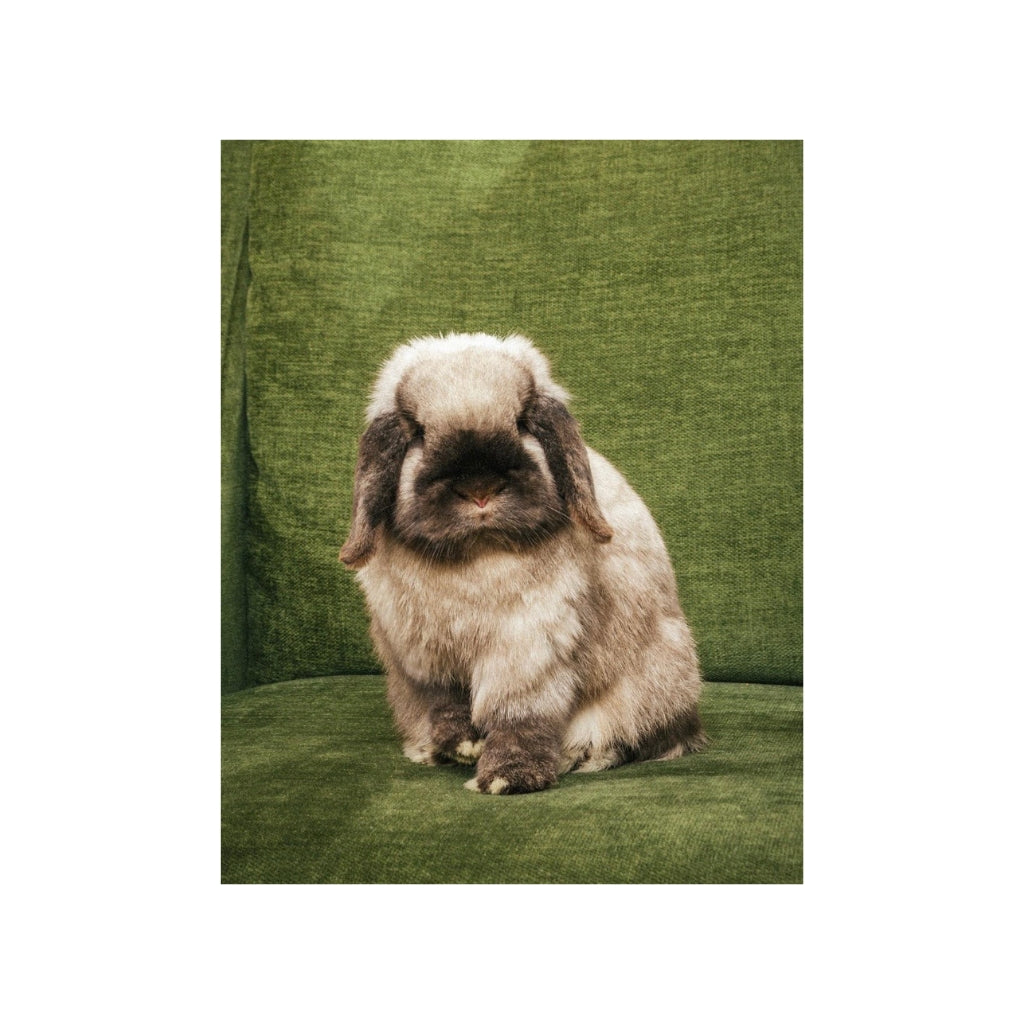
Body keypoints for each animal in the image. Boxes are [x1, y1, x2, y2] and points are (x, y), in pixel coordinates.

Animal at [339, 332, 706, 794]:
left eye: (521, 423)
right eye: (418, 434)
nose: (479, 490)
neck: (478, 554)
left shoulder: (527, 652)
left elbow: (519, 718)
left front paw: (507, 778)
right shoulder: (427, 660)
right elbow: (447, 707)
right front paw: (462, 747)